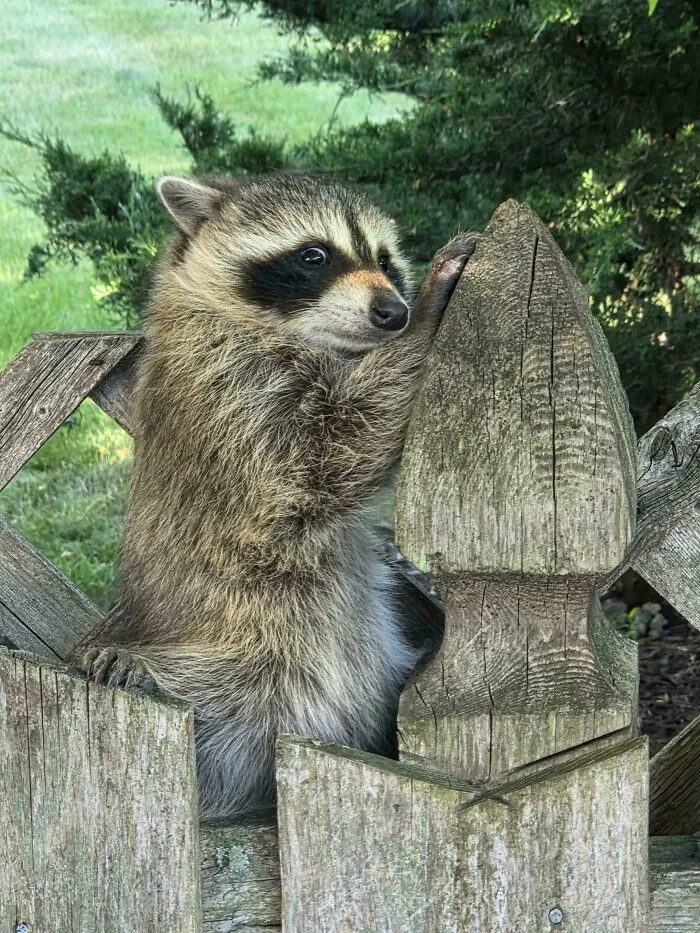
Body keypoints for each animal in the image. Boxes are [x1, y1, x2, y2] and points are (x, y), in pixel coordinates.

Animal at [74, 173, 476, 820]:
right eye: (314, 257)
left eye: (384, 261)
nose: (396, 313)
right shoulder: (227, 393)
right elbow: (320, 459)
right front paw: (429, 320)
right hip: (245, 672)